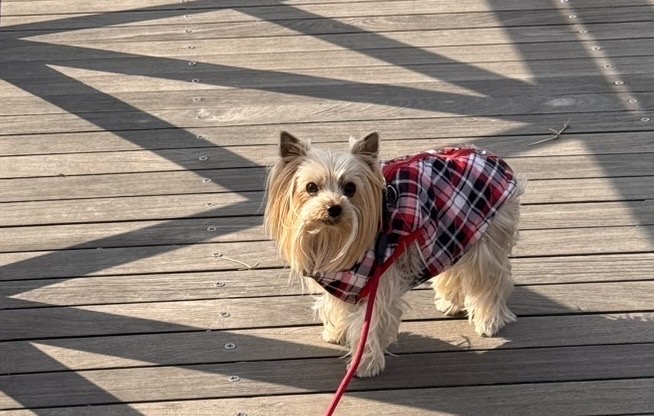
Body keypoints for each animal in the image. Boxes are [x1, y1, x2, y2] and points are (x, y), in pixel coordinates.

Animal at [265, 131, 524, 377]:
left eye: (350, 188)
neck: (332, 239)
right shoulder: (342, 277)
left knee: (491, 279)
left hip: (484, 234)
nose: (334, 207)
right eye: (311, 188)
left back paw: (488, 322)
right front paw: (336, 332)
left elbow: (370, 323)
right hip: (453, 228)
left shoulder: (378, 280)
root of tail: (492, 157)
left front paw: (364, 364)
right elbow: (338, 306)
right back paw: (450, 303)